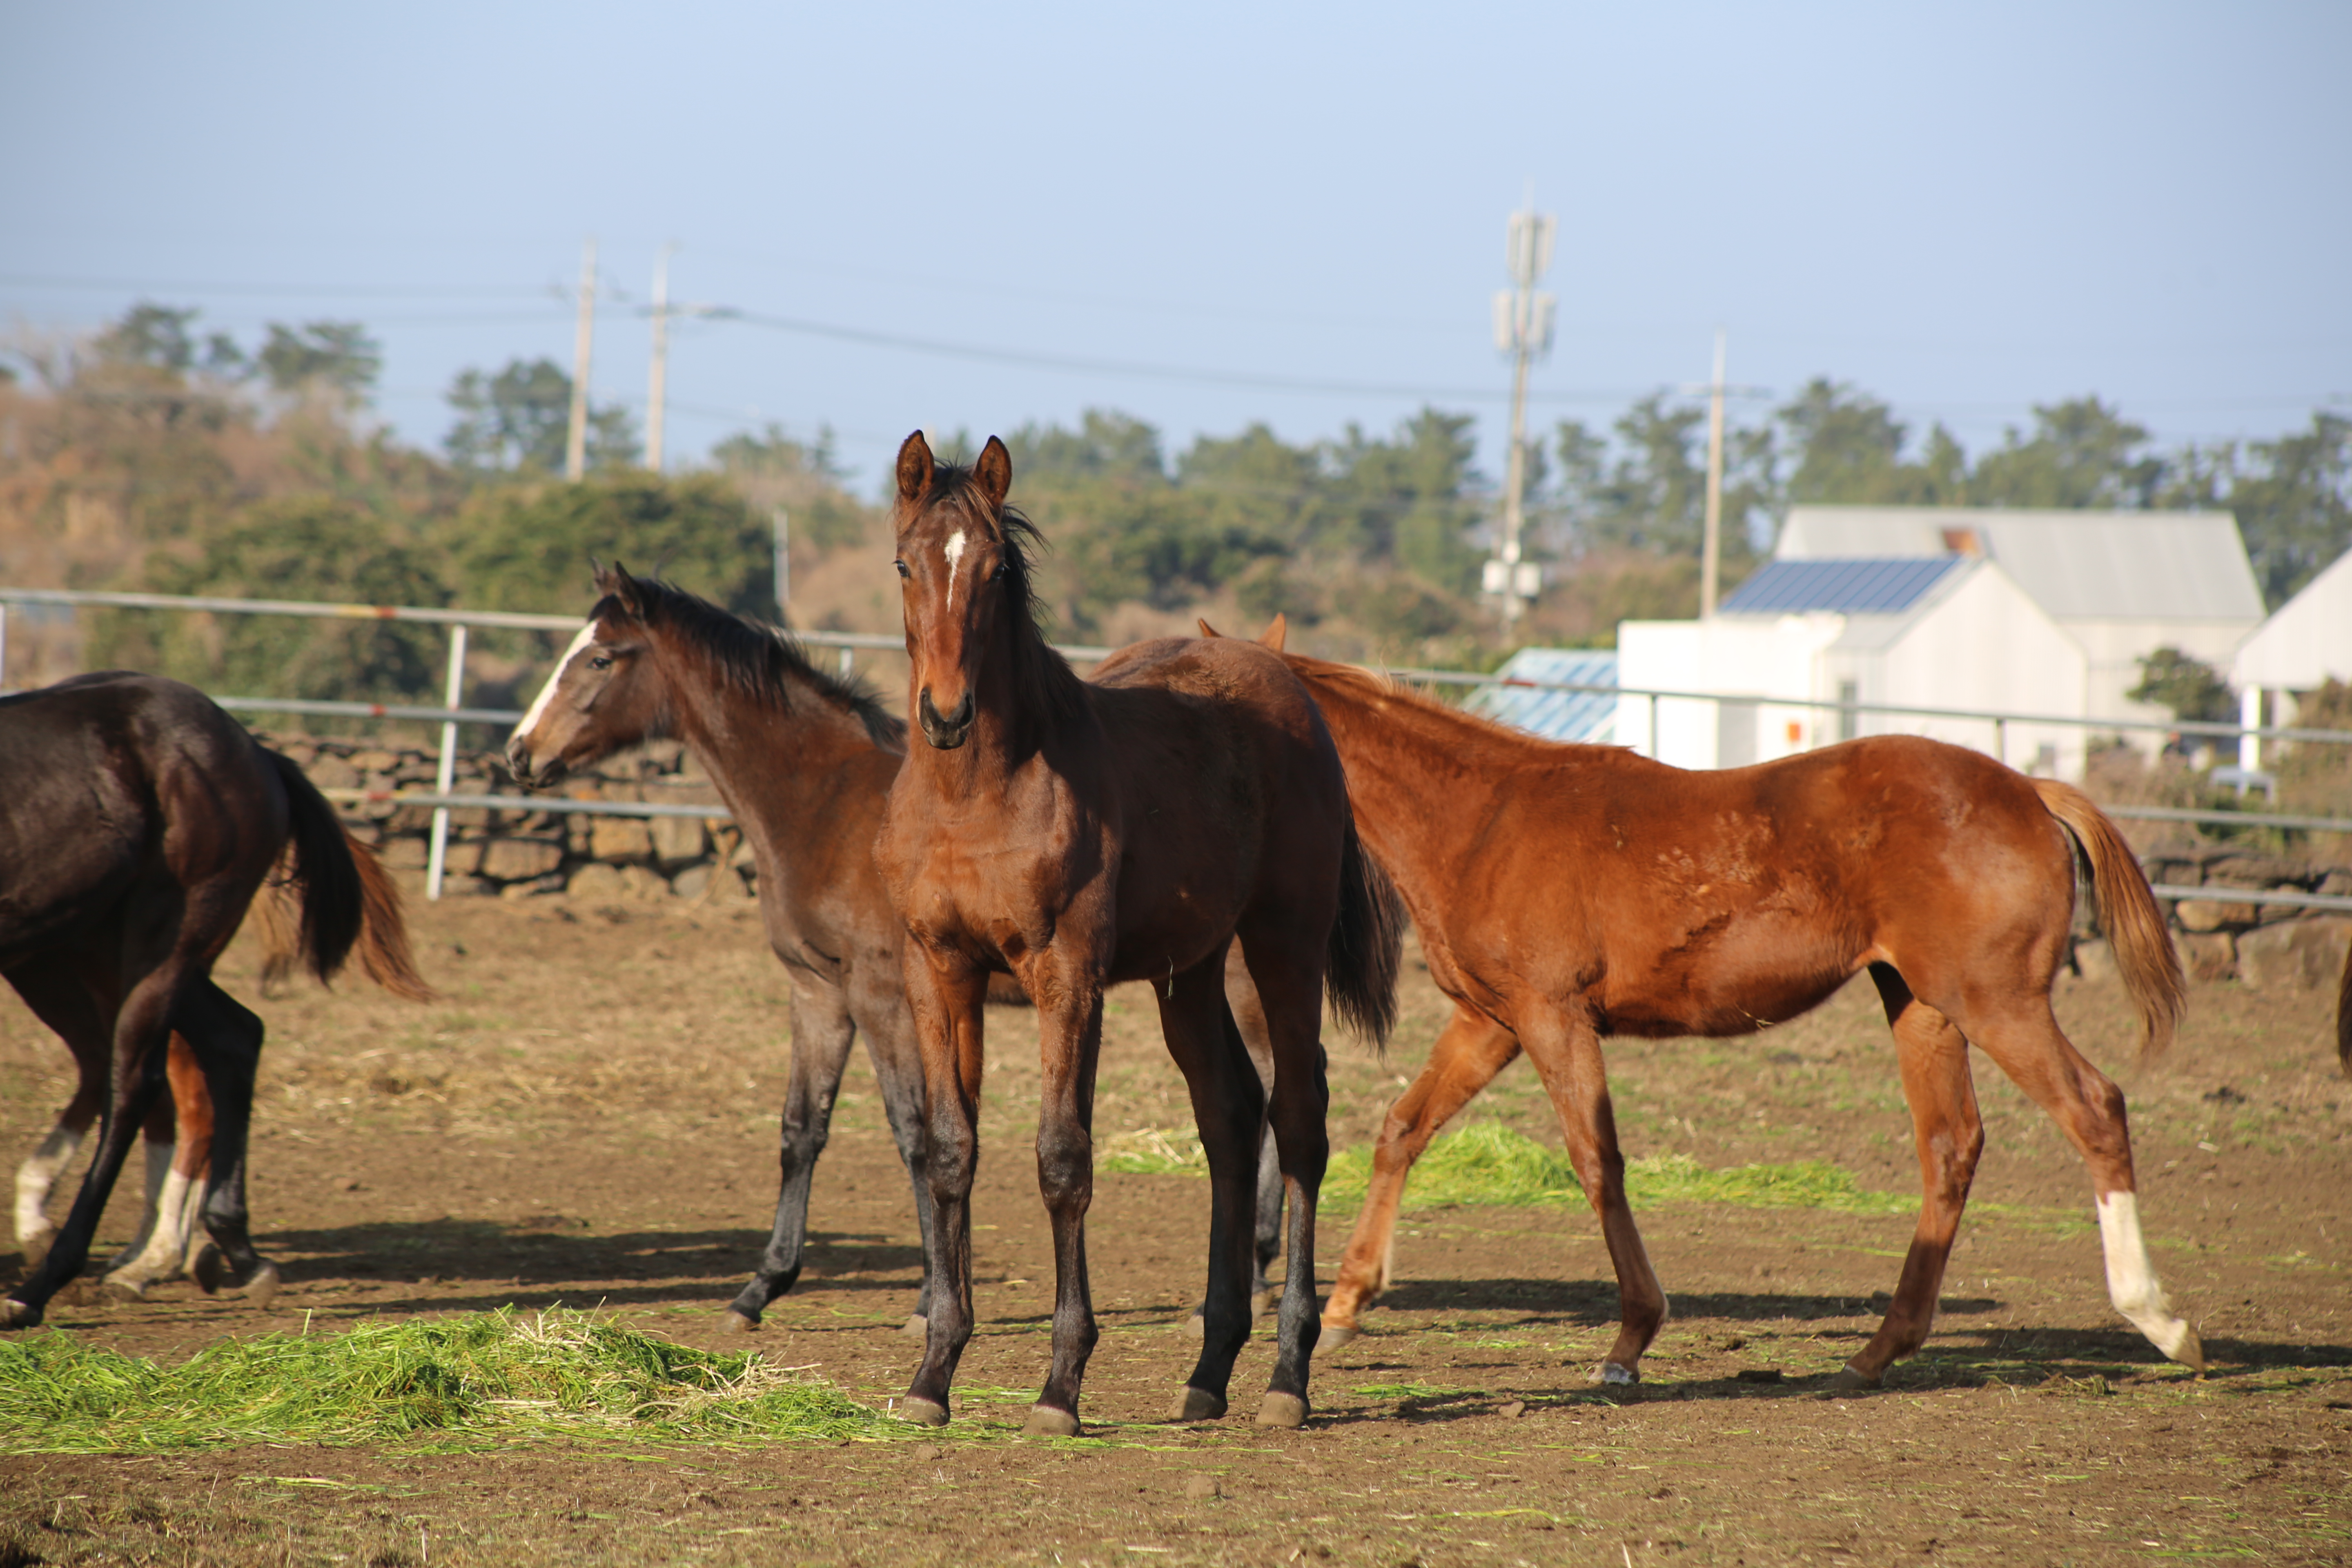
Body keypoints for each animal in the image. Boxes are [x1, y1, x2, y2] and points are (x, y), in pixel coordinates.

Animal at [2, 672, 435, 1326]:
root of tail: (253, 749)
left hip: (158, 941)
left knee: (136, 1080)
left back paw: (52, 1280)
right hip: (94, 944)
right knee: (230, 1039)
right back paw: (229, 1249)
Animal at [880, 432, 1392, 1439]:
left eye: (995, 571)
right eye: (906, 566)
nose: (947, 715)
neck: (974, 797)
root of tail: (1289, 685)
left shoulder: (1066, 977)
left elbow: (1063, 1159)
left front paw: (1059, 1389)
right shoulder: (940, 972)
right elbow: (953, 1153)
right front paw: (933, 1376)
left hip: (1283, 947)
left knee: (1298, 1123)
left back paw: (1287, 1377)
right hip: (1189, 971)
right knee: (1230, 1118)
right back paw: (1209, 1371)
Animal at [1214, 620, 2201, 1392]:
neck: (1483, 820)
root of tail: (2029, 788)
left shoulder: (1552, 1019)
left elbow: (1596, 1161)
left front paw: (1630, 1340)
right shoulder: (1491, 1023)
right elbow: (1404, 1128)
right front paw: (1346, 1307)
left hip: (1998, 1002)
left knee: (2093, 1109)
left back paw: (2160, 1318)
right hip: (1923, 1007)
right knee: (1951, 1146)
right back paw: (1877, 1351)